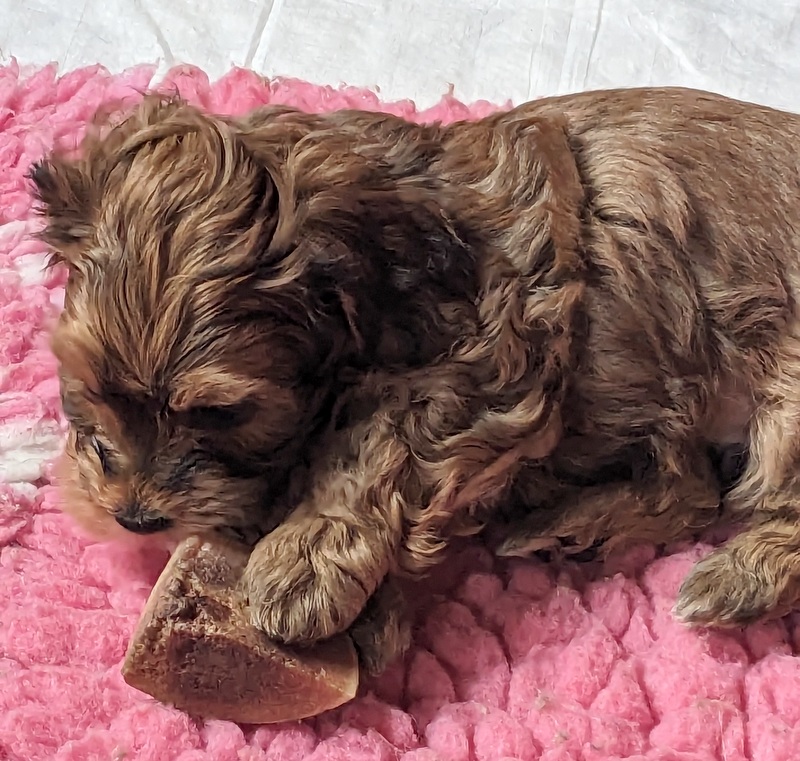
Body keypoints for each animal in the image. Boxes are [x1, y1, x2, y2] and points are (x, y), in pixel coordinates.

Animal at [30, 86, 800, 673]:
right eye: (89, 390)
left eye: (223, 413)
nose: (135, 517)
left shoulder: (498, 353)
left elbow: (381, 436)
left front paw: (308, 551)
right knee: (695, 488)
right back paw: (570, 527)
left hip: (783, 399)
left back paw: (735, 576)